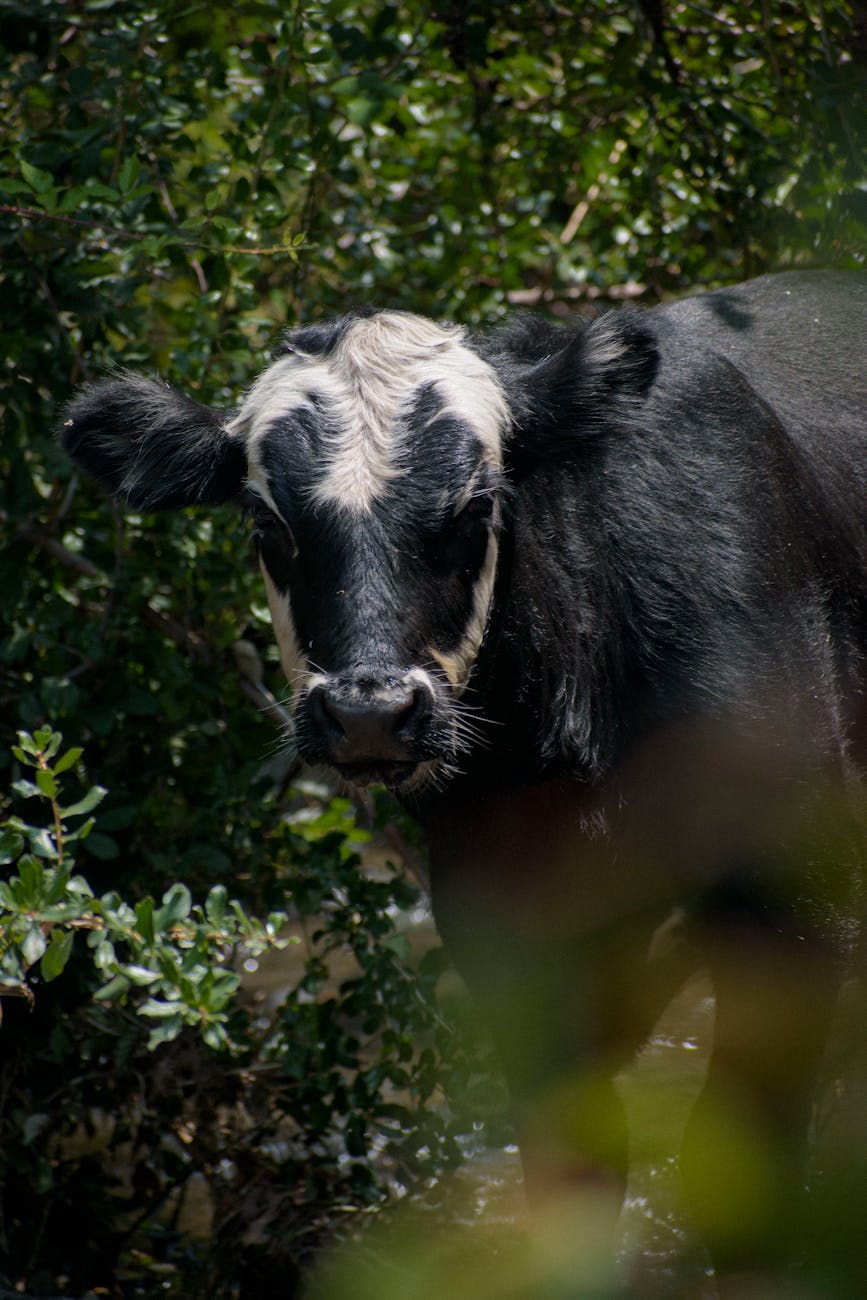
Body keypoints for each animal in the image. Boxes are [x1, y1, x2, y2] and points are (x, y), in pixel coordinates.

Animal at [62, 274, 867, 1289]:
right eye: (267, 526)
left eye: (478, 511)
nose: (368, 711)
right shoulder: (506, 921)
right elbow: (573, 1171)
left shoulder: (792, 900)